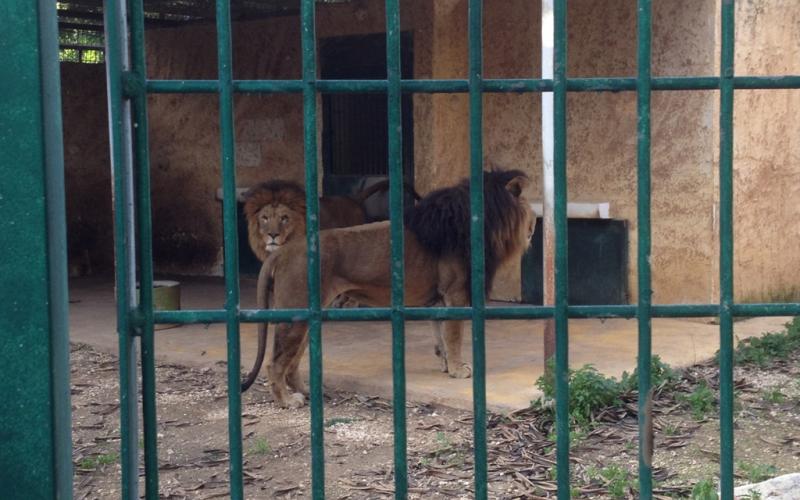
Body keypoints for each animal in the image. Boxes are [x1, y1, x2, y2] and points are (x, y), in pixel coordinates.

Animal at [241, 168, 536, 406]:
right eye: (530, 212)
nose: (534, 227)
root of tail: (283, 251)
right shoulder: (455, 293)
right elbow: (453, 335)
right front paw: (458, 369)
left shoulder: (439, 298)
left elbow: (439, 333)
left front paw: (444, 364)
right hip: (296, 313)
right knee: (275, 364)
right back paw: (287, 401)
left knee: (293, 362)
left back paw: (308, 393)